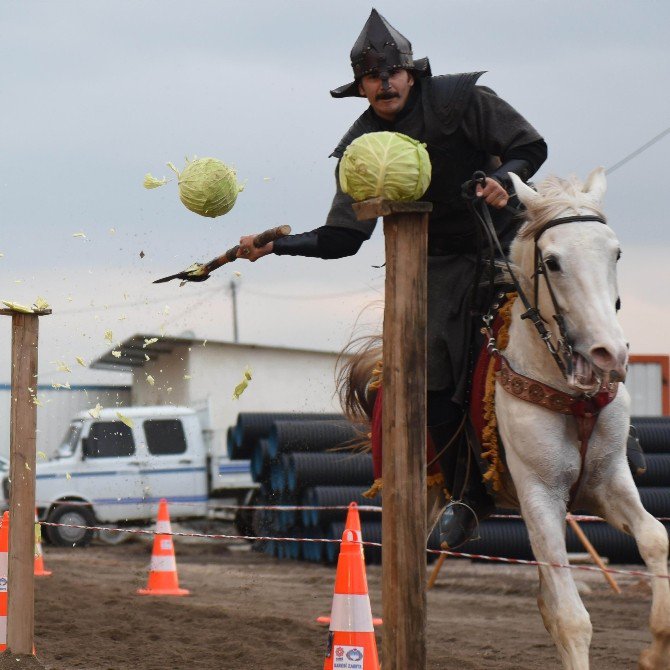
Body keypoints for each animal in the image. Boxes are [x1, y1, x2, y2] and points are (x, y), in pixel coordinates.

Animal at [342, 169, 670, 670]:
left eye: (615, 252)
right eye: (552, 261)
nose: (609, 355)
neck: (568, 392)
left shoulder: (607, 483)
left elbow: (655, 538)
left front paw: (655, 649)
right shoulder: (541, 497)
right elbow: (571, 616)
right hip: (418, 493)